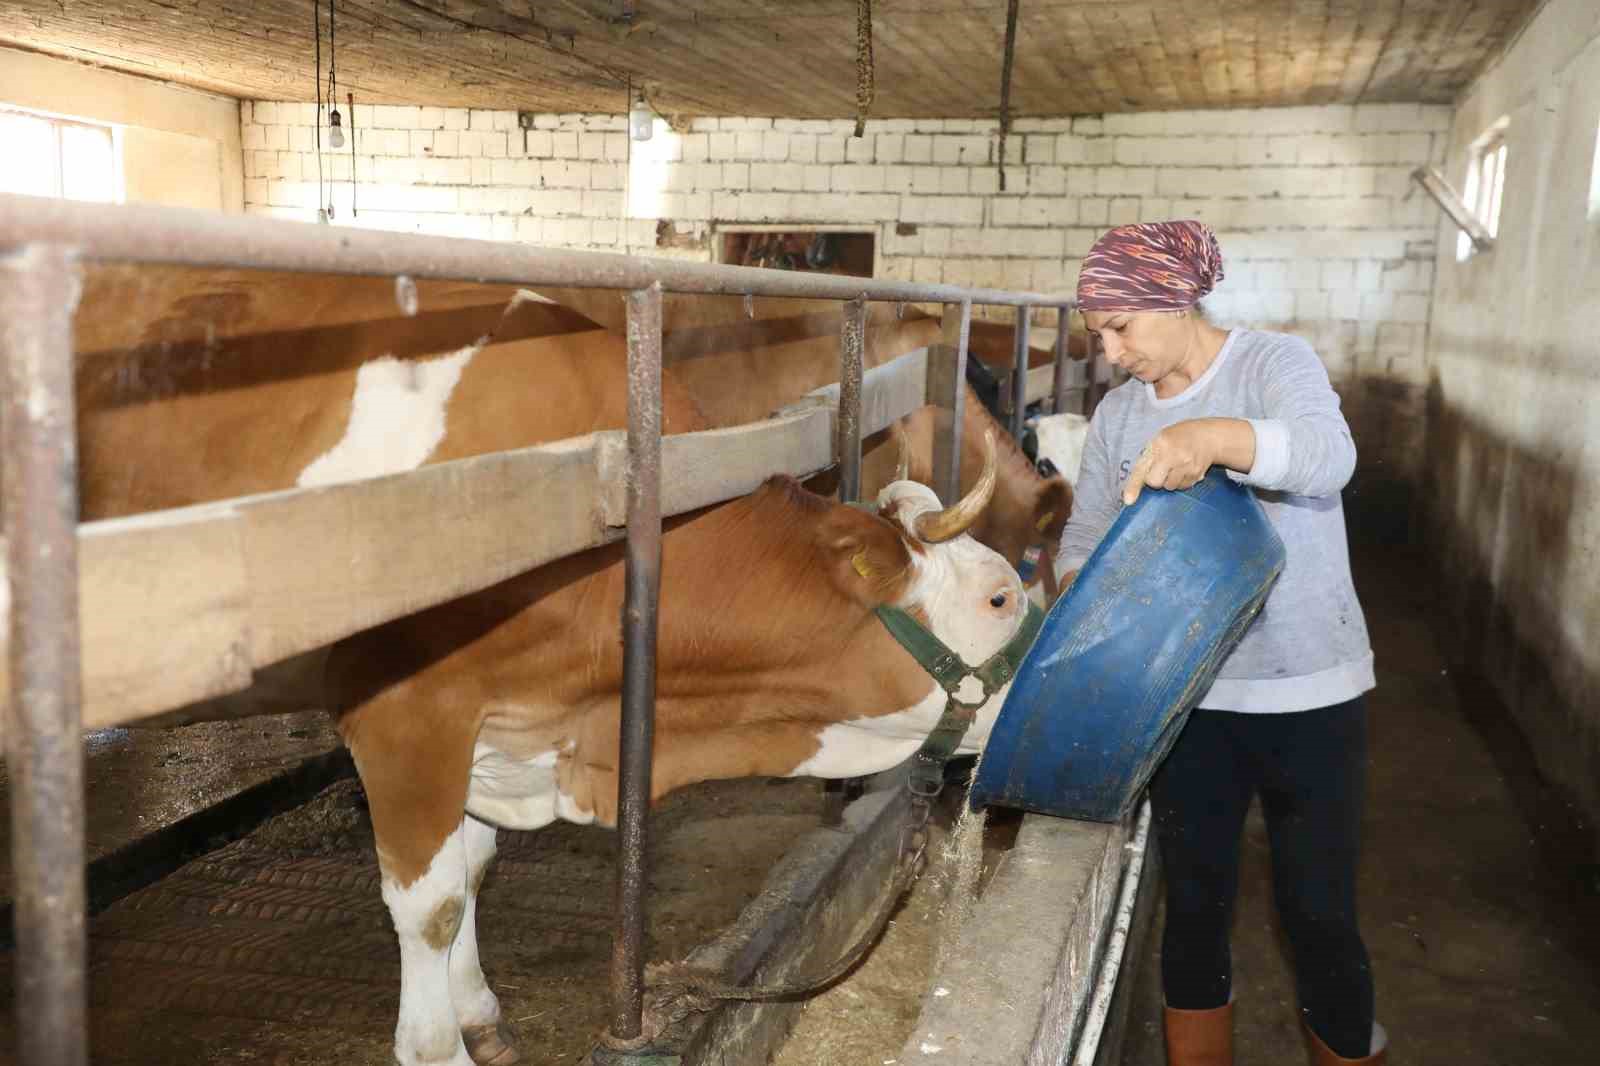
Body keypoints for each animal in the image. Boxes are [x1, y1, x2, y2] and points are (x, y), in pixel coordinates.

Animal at [72, 267, 1036, 1062]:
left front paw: (478, 1011)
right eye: (1001, 597)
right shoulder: (406, 714)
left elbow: (474, 867)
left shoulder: (495, 727)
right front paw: (436, 1048)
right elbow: (430, 905)